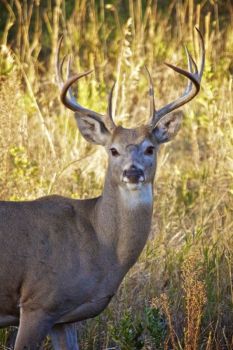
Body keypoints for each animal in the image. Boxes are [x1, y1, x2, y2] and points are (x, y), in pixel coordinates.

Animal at [0, 28, 204, 350]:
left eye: (150, 148)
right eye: (113, 150)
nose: (132, 172)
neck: (100, 243)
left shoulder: (63, 316)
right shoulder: (38, 302)